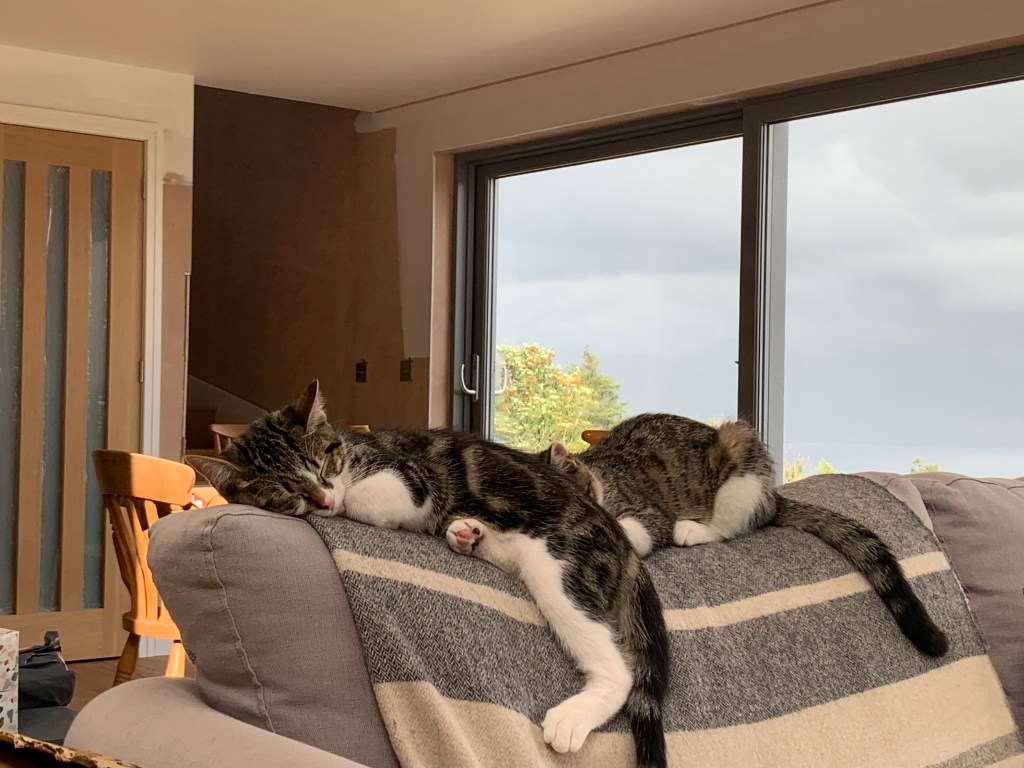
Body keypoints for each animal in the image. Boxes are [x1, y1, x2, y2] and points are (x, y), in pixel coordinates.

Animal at [186, 382, 671, 768]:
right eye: (285, 493)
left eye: (323, 466)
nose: (323, 501)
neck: (353, 450)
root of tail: (614, 532)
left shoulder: (412, 479)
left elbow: (372, 496)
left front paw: (348, 502)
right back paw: (469, 534)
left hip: (560, 564)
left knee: (618, 668)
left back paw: (572, 717)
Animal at [542, 412, 949, 657]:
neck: (602, 479)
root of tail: (773, 496)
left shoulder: (647, 513)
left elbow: (638, 529)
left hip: (738, 448)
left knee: (731, 525)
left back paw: (692, 528)